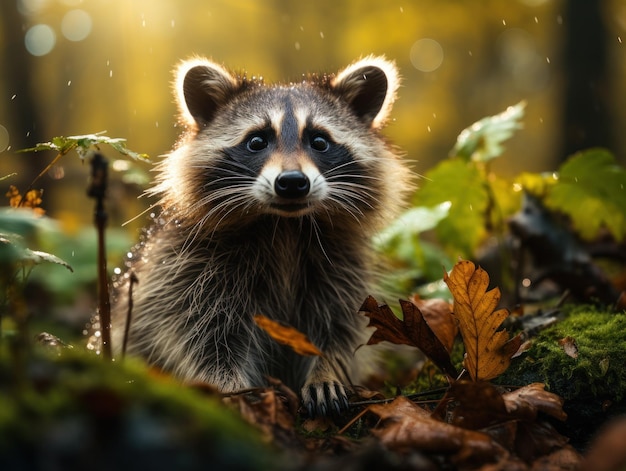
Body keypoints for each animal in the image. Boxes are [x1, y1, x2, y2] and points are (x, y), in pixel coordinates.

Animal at [111, 56, 410, 416]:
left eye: (319, 141)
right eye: (256, 141)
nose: (292, 182)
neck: (285, 226)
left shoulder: (342, 265)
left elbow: (341, 328)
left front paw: (326, 369)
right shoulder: (185, 269)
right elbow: (200, 335)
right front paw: (231, 389)